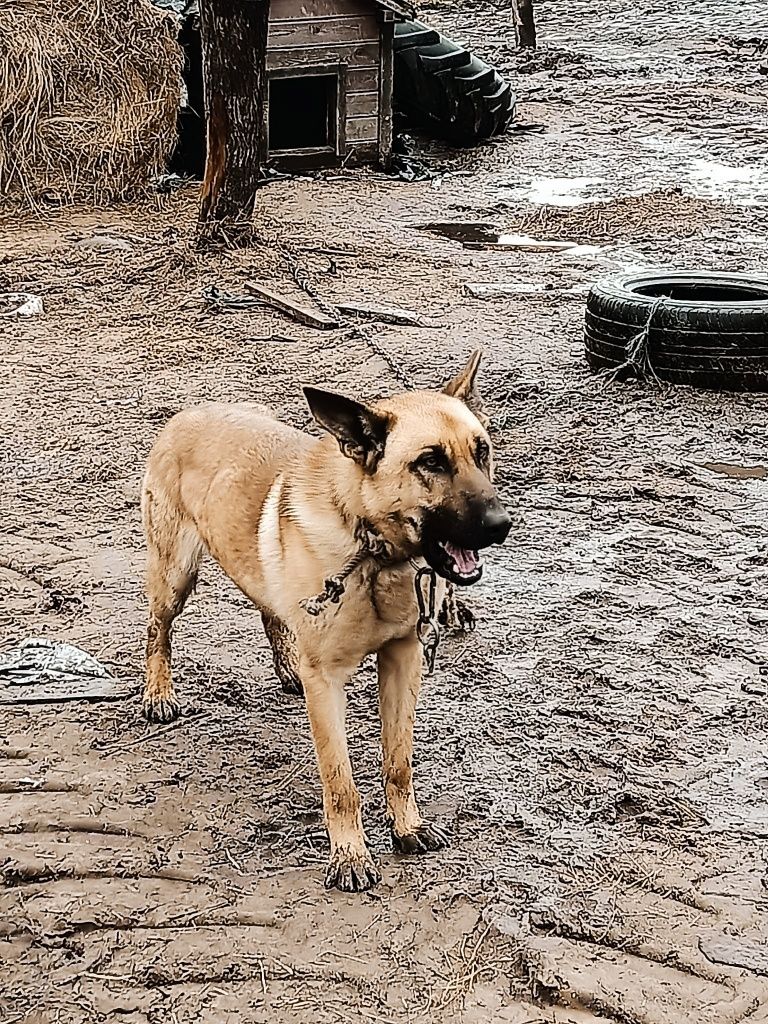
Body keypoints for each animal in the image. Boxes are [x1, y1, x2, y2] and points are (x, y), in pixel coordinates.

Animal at [140, 350, 512, 888]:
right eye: (431, 462)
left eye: (481, 452)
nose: (501, 525)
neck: (374, 550)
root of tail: (186, 414)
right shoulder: (328, 681)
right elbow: (340, 782)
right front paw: (350, 856)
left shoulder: (403, 659)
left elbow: (398, 761)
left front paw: (408, 827)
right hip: (176, 576)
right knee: (157, 630)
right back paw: (159, 693)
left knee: (270, 611)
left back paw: (285, 668)